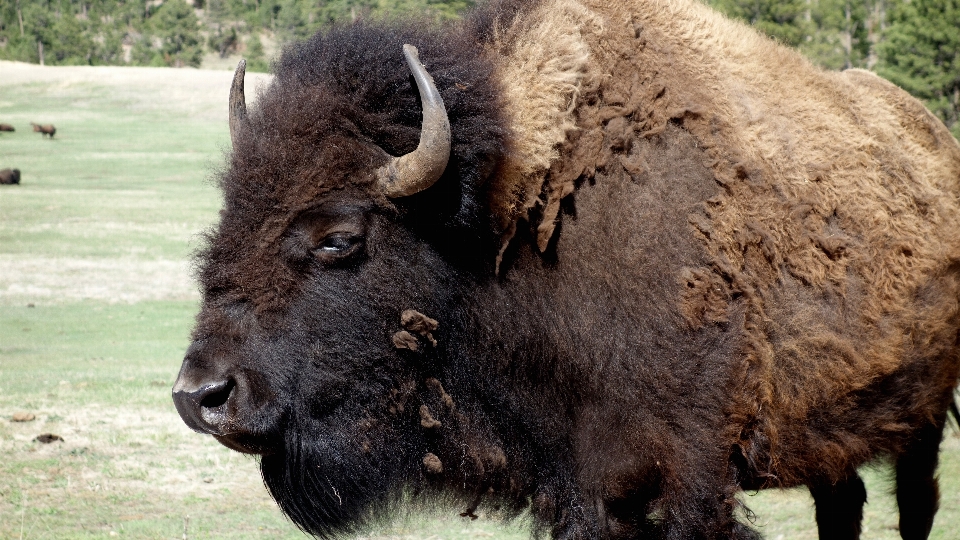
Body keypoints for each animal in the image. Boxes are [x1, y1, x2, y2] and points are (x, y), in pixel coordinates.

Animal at [171, 0, 960, 536]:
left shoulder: (690, 477)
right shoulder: (586, 490)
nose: (200, 396)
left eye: (339, 237)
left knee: (912, 501)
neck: (504, 224)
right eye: (228, 212)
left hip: (921, 417)